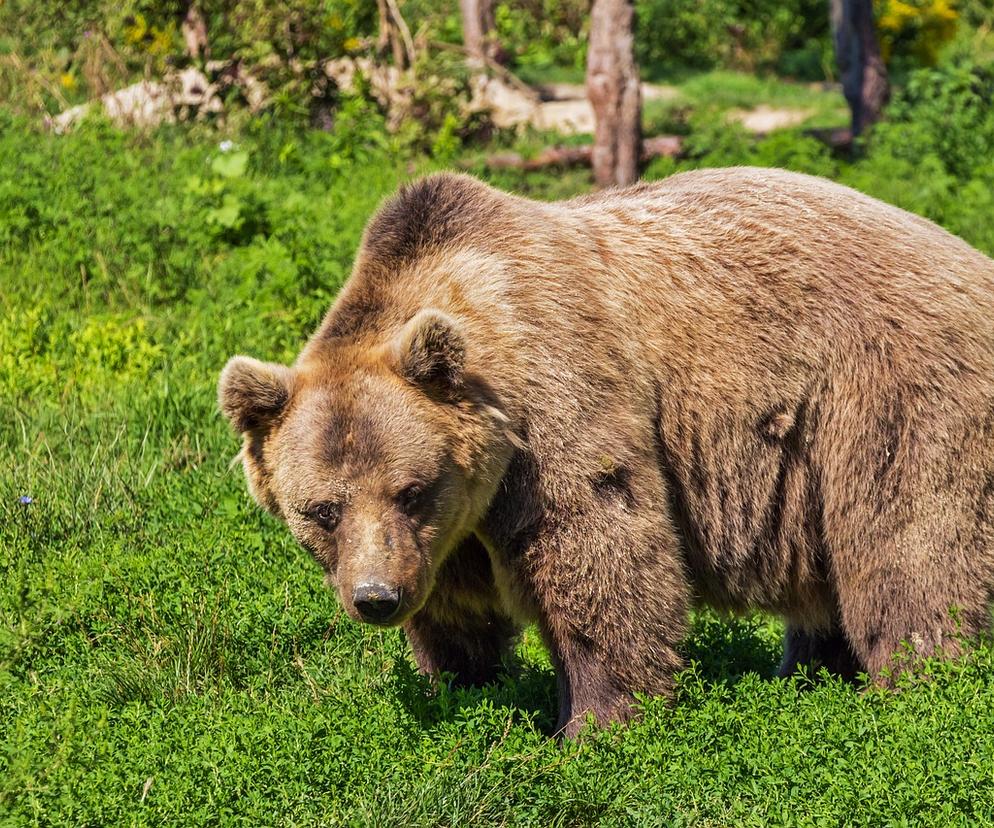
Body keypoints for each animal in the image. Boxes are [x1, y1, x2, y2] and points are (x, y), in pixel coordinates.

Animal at [221, 168, 992, 736]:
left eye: (411, 489)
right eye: (322, 509)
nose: (377, 597)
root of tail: (972, 259)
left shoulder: (556, 402)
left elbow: (600, 552)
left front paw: (594, 724)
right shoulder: (456, 525)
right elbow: (458, 608)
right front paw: (458, 686)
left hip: (889, 393)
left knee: (911, 547)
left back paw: (919, 686)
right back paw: (808, 673)